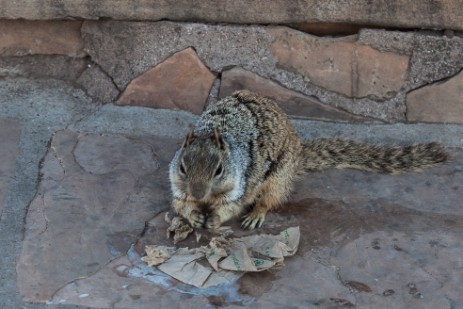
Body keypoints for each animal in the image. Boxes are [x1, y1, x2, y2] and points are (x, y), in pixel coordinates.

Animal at [169, 89, 452, 229]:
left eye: (219, 170)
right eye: (182, 167)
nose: (198, 192)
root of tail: (297, 152)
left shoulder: (240, 185)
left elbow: (231, 206)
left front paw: (214, 219)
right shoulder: (178, 187)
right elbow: (180, 204)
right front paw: (194, 216)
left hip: (279, 177)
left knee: (271, 199)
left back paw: (256, 215)